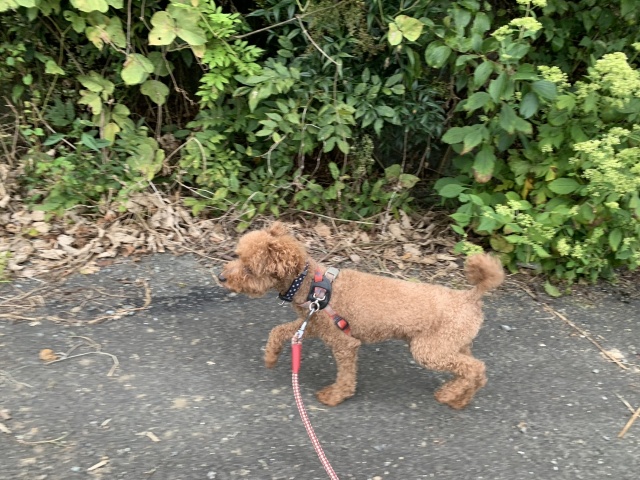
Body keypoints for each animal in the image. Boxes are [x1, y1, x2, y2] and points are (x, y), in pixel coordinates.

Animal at [218, 222, 504, 409]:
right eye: (237, 256)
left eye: (249, 268)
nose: (221, 277)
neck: (312, 284)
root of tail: (470, 296)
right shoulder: (313, 324)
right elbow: (278, 331)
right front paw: (270, 357)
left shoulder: (344, 343)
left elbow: (346, 377)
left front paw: (334, 396)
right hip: (452, 344)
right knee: (476, 371)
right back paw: (460, 398)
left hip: (429, 349)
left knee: (475, 368)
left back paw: (447, 395)